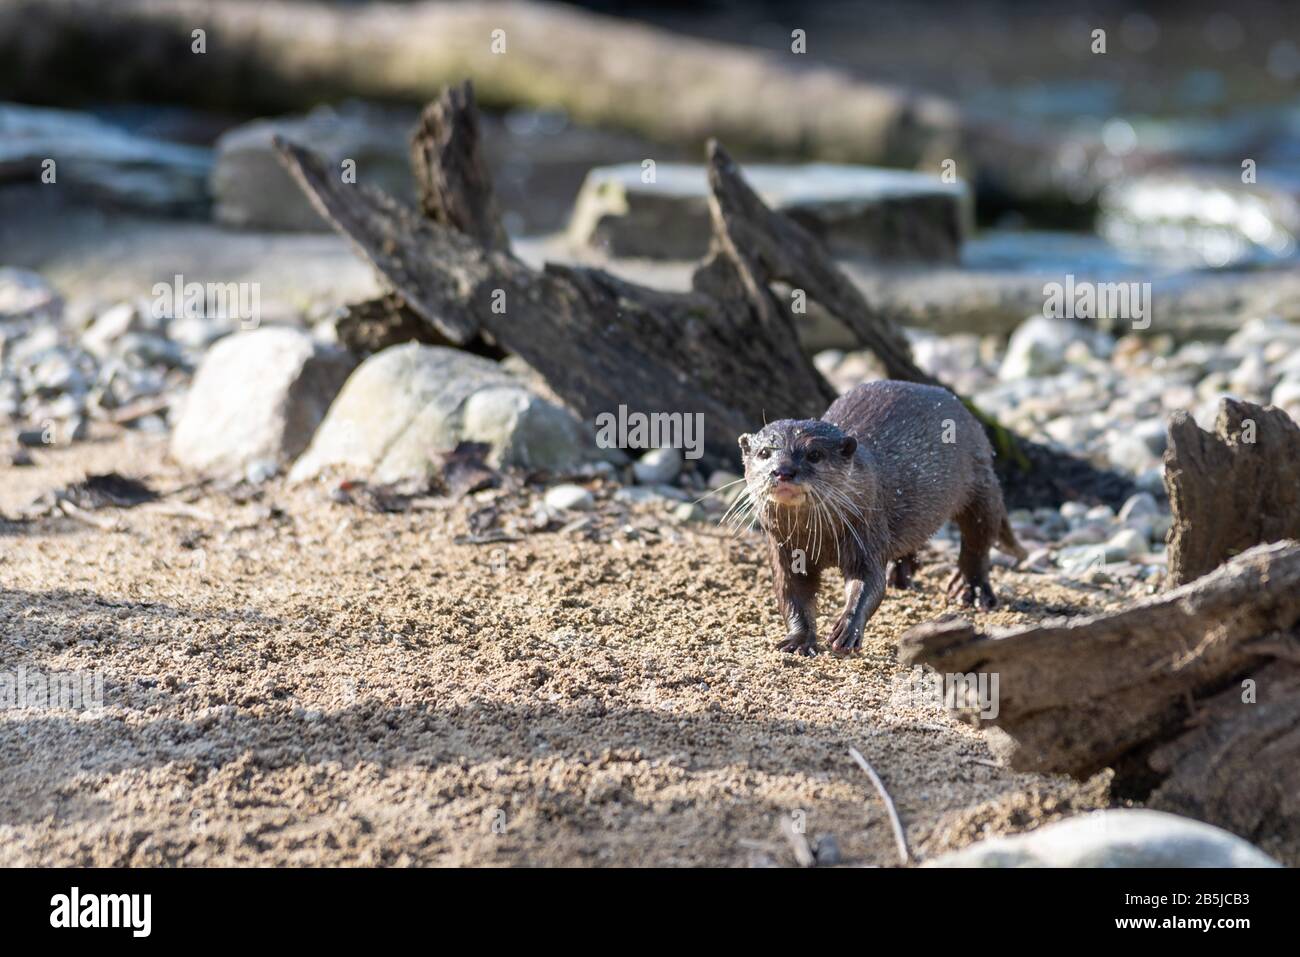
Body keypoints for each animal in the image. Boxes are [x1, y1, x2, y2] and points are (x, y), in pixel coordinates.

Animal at [738, 382, 1019, 657]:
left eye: (814, 454)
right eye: (764, 453)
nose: (783, 471)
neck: (821, 538)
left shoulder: (868, 532)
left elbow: (869, 584)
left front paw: (847, 629)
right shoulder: (784, 548)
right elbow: (791, 593)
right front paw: (798, 639)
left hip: (981, 481)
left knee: (979, 537)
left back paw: (971, 589)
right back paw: (902, 573)